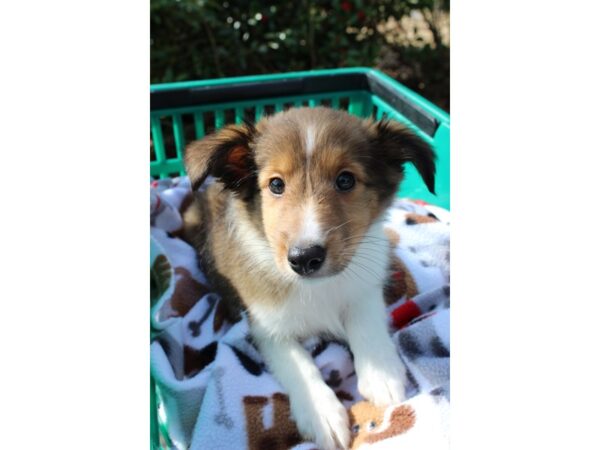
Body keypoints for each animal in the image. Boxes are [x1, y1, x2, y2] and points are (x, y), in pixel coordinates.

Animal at [183, 107, 436, 448]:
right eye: (276, 185)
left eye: (345, 180)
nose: (304, 258)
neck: (317, 288)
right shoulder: (266, 327)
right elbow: (299, 364)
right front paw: (324, 415)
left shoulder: (367, 282)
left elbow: (365, 319)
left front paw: (382, 373)